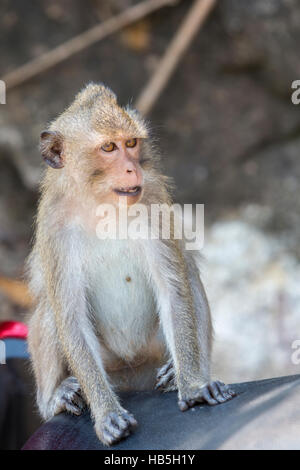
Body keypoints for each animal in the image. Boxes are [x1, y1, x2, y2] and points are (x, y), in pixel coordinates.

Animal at [27, 82, 236, 446]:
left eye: (131, 143)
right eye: (109, 147)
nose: (131, 168)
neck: (101, 202)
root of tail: (131, 372)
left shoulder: (152, 199)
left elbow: (173, 288)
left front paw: (193, 385)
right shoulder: (54, 225)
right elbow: (70, 315)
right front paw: (106, 414)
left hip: (151, 353)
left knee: (188, 274)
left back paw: (177, 372)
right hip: (110, 364)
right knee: (50, 309)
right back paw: (56, 397)